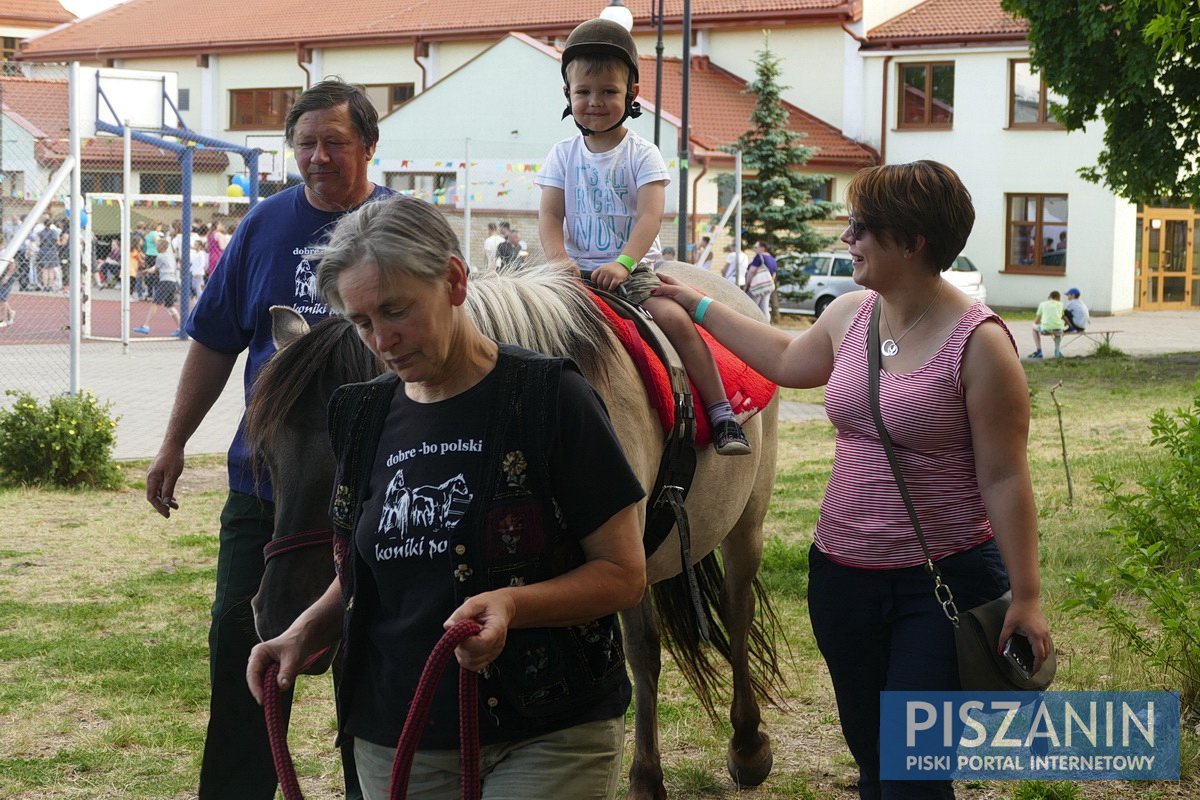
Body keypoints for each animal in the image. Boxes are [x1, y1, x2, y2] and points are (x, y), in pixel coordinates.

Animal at [244, 263, 787, 800]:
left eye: (343, 456)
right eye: (266, 454)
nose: (277, 614)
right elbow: (640, 650)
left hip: (745, 523)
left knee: (736, 611)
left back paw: (747, 745)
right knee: (647, 645)